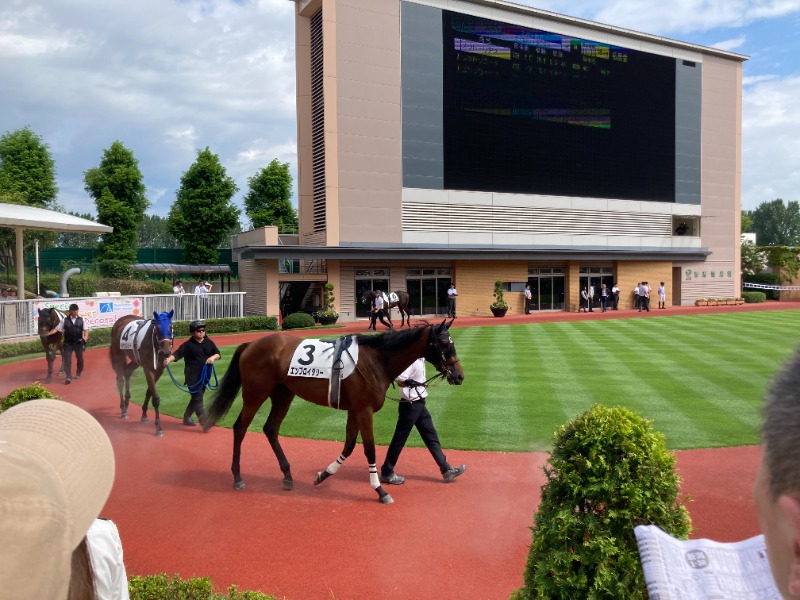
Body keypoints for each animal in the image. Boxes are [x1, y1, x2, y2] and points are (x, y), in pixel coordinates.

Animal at [205, 322, 462, 504]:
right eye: (445, 344)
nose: (459, 375)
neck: (377, 359)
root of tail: (250, 344)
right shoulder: (364, 410)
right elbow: (369, 449)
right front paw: (380, 490)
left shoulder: (354, 410)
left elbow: (348, 446)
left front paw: (323, 475)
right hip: (255, 394)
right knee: (240, 428)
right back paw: (238, 477)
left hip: (283, 394)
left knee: (270, 428)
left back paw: (287, 475)